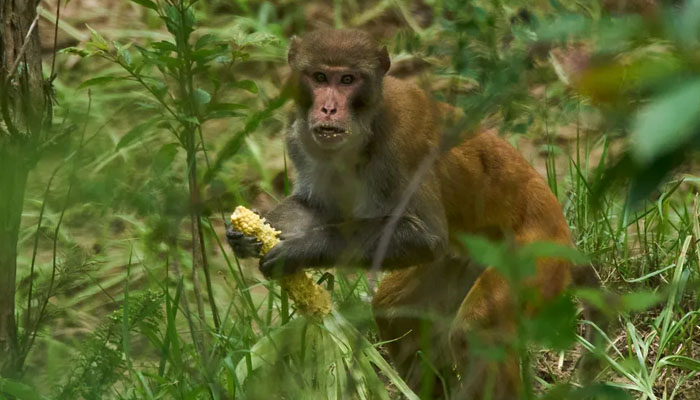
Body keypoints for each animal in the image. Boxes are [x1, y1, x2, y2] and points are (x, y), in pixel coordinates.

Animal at [227, 29, 574, 399]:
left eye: (347, 79)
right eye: (319, 77)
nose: (328, 108)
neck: (365, 125)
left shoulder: (403, 142)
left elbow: (425, 236)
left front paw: (298, 251)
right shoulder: (298, 136)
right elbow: (320, 208)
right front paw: (248, 233)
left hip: (538, 253)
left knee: (477, 330)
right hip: (465, 261)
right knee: (395, 310)